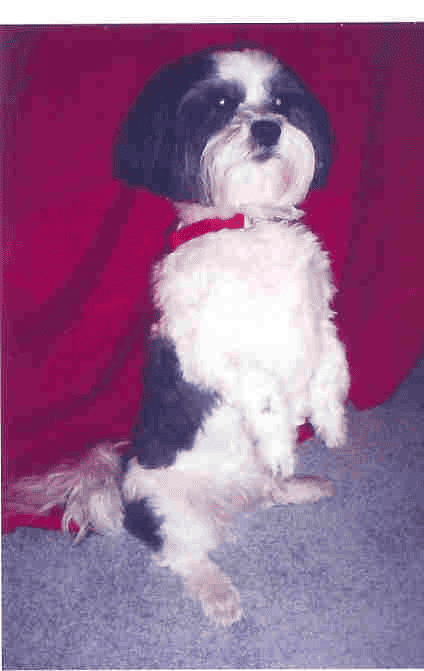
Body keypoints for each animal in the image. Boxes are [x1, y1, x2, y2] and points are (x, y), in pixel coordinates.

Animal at [11, 46, 350, 624]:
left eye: (282, 103)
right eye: (220, 105)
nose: (266, 127)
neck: (247, 226)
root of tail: (119, 482)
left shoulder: (317, 313)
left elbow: (331, 363)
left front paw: (331, 424)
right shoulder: (207, 349)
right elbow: (265, 394)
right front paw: (284, 441)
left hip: (244, 481)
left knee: (265, 492)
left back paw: (298, 486)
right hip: (169, 509)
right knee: (184, 554)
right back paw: (219, 593)